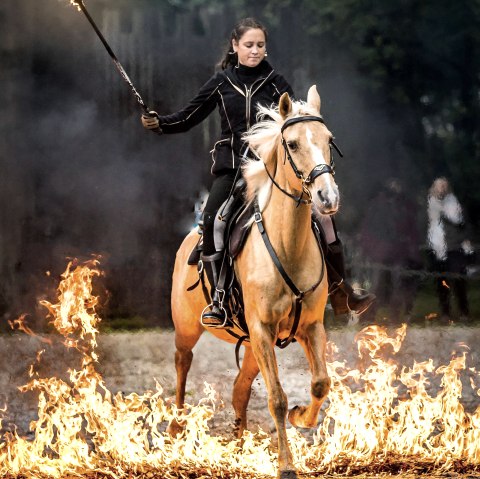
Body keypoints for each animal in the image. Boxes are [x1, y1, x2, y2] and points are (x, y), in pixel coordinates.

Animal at [171, 86, 340, 479]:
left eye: (328, 140)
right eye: (292, 143)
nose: (327, 197)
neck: (287, 244)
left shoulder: (310, 326)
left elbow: (320, 383)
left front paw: (301, 417)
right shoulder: (262, 328)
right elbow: (276, 397)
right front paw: (286, 465)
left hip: (249, 345)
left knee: (238, 390)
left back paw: (238, 442)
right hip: (188, 327)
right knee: (183, 362)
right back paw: (177, 425)